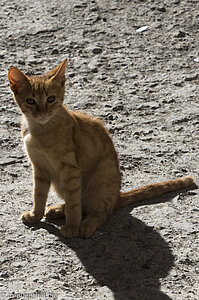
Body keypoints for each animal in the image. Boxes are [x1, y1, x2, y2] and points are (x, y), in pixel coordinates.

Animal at [8, 57, 194, 238]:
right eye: (30, 101)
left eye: (51, 99)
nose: (42, 113)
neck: (40, 131)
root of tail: (117, 196)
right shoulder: (39, 168)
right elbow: (38, 195)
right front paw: (35, 215)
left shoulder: (70, 170)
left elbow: (73, 203)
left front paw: (72, 227)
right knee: (83, 204)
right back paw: (57, 210)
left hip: (101, 175)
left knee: (99, 211)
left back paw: (86, 224)